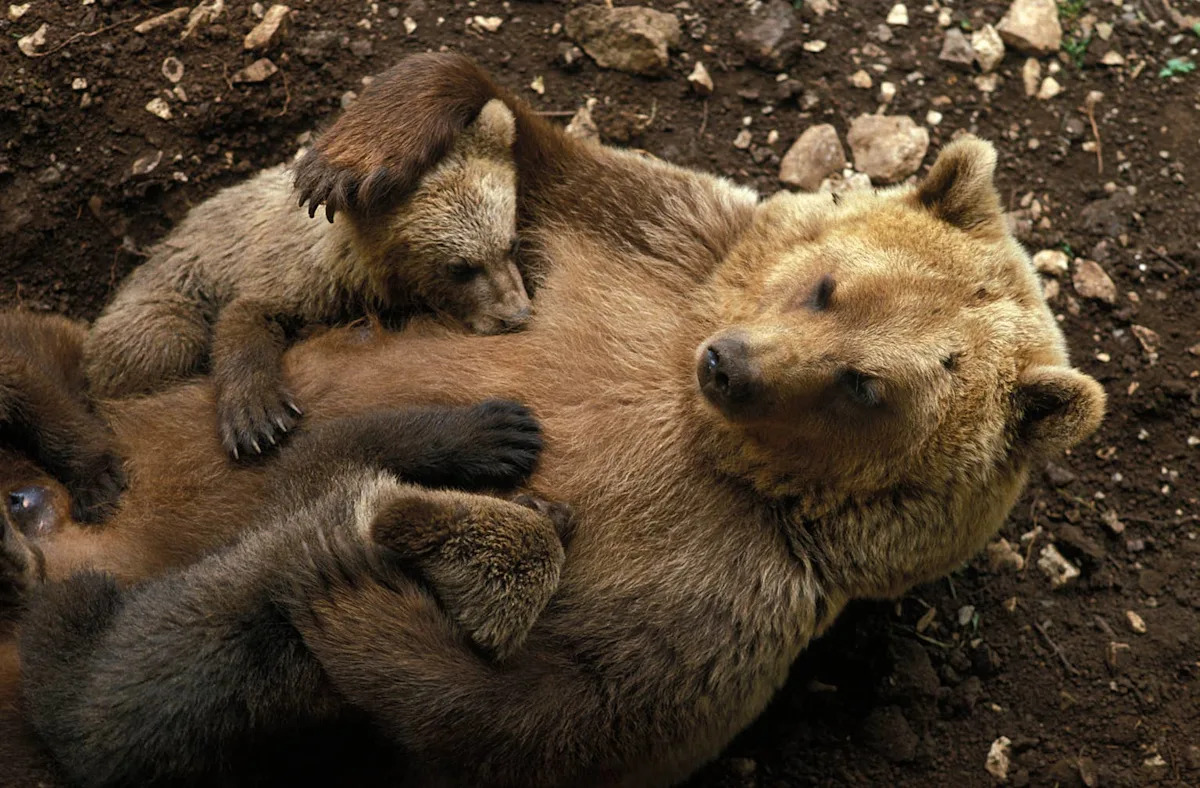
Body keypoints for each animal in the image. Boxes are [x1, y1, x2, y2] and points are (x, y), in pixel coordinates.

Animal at [84, 98, 530, 459]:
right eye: (459, 267)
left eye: (510, 243)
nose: (516, 315)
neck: (365, 273)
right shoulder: (296, 274)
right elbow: (251, 312)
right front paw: (258, 418)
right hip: (165, 293)